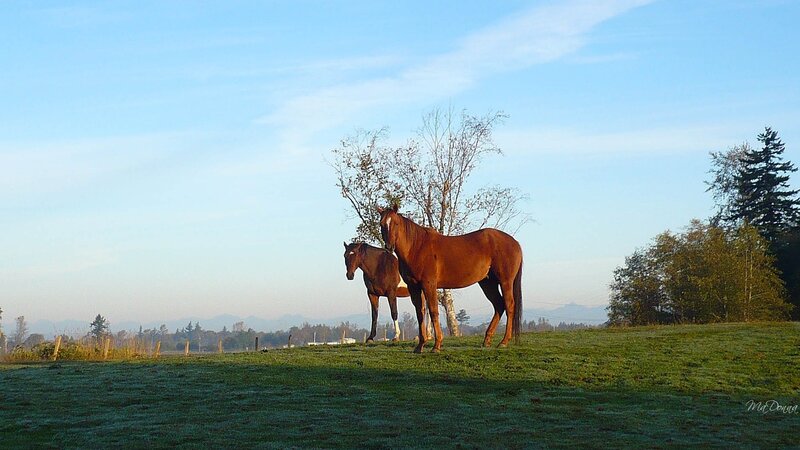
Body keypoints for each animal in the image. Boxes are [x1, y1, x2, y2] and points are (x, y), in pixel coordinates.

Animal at [377, 204, 523, 353]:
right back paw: (487, 340)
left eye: (395, 223)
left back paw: (504, 341)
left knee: (509, 305)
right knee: (499, 305)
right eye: (381, 224)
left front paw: (436, 345)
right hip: (488, 283)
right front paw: (420, 346)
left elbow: (433, 311)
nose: (389, 246)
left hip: (505, 282)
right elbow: (420, 313)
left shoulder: (429, 284)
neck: (417, 247)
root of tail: (515, 242)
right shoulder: (413, 287)